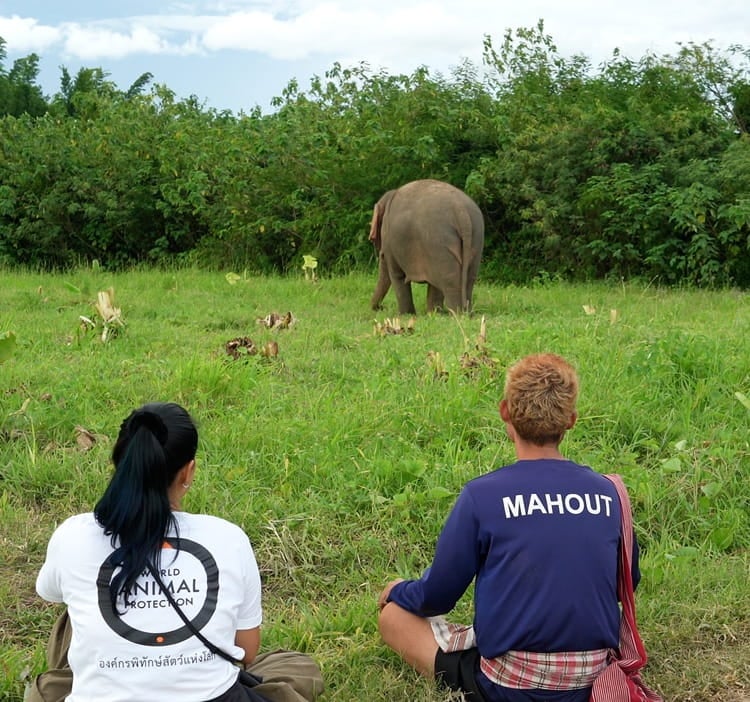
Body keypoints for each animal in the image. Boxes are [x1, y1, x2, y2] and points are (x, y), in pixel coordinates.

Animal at [369, 179, 484, 314]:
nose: (381, 307)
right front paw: (432, 314)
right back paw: (466, 313)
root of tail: (460, 210)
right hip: (476, 237)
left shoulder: (390, 244)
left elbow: (397, 275)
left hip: (439, 242)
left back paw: (457, 314)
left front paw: (406, 315)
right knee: (469, 278)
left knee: (449, 280)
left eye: (382, 256)